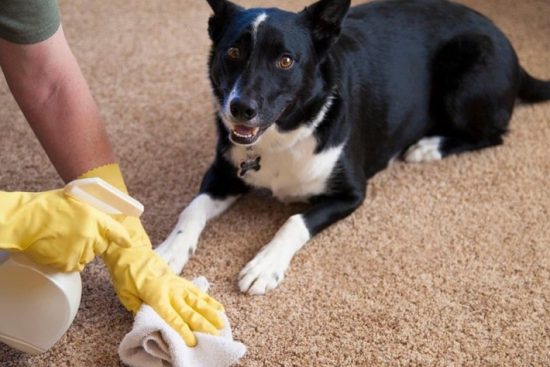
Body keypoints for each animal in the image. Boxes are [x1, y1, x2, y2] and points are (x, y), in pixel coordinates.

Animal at [155, 0, 550, 294]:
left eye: (285, 60)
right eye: (233, 52)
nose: (240, 108)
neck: (285, 136)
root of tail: (508, 44)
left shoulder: (351, 194)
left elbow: (294, 221)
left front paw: (265, 264)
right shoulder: (224, 172)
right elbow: (191, 210)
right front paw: (168, 251)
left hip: (465, 76)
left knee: (494, 134)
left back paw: (427, 147)